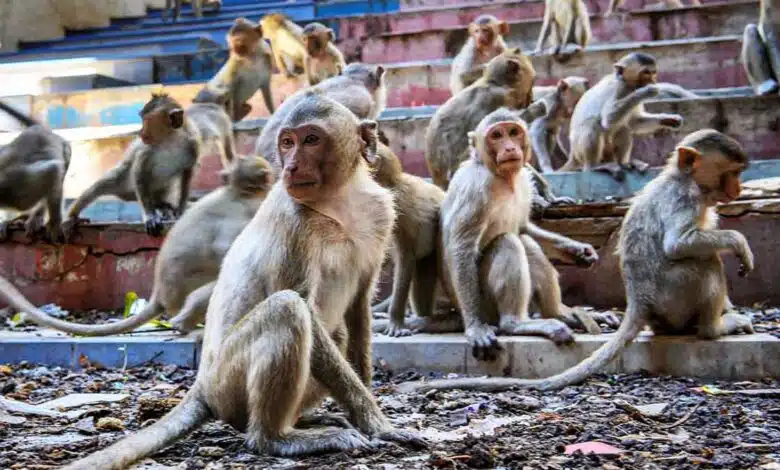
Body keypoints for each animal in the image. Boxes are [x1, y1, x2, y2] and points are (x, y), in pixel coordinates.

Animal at [61, 93, 201, 238]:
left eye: (146, 120)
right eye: (142, 119)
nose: (140, 132)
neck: (170, 140)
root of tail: (128, 195)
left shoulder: (193, 145)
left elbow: (187, 175)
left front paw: (180, 211)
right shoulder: (147, 149)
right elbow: (140, 172)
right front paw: (150, 216)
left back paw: (165, 207)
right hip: (122, 181)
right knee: (97, 187)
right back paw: (71, 217)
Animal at [395, 129, 754, 393]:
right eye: (731, 172)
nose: (737, 189)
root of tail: (639, 303)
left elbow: (525, 228)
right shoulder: (686, 197)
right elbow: (678, 244)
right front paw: (739, 244)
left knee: (524, 240)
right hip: (674, 296)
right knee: (706, 263)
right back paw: (713, 328)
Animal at [563, 52, 699, 181]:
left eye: (653, 72)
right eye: (646, 72)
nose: (653, 81)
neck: (628, 84)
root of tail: (572, 154)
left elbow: (634, 122)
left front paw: (670, 120)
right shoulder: (620, 89)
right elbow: (608, 118)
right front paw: (645, 92)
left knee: (624, 128)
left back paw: (624, 164)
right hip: (579, 150)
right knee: (592, 124)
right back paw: (595, 166)